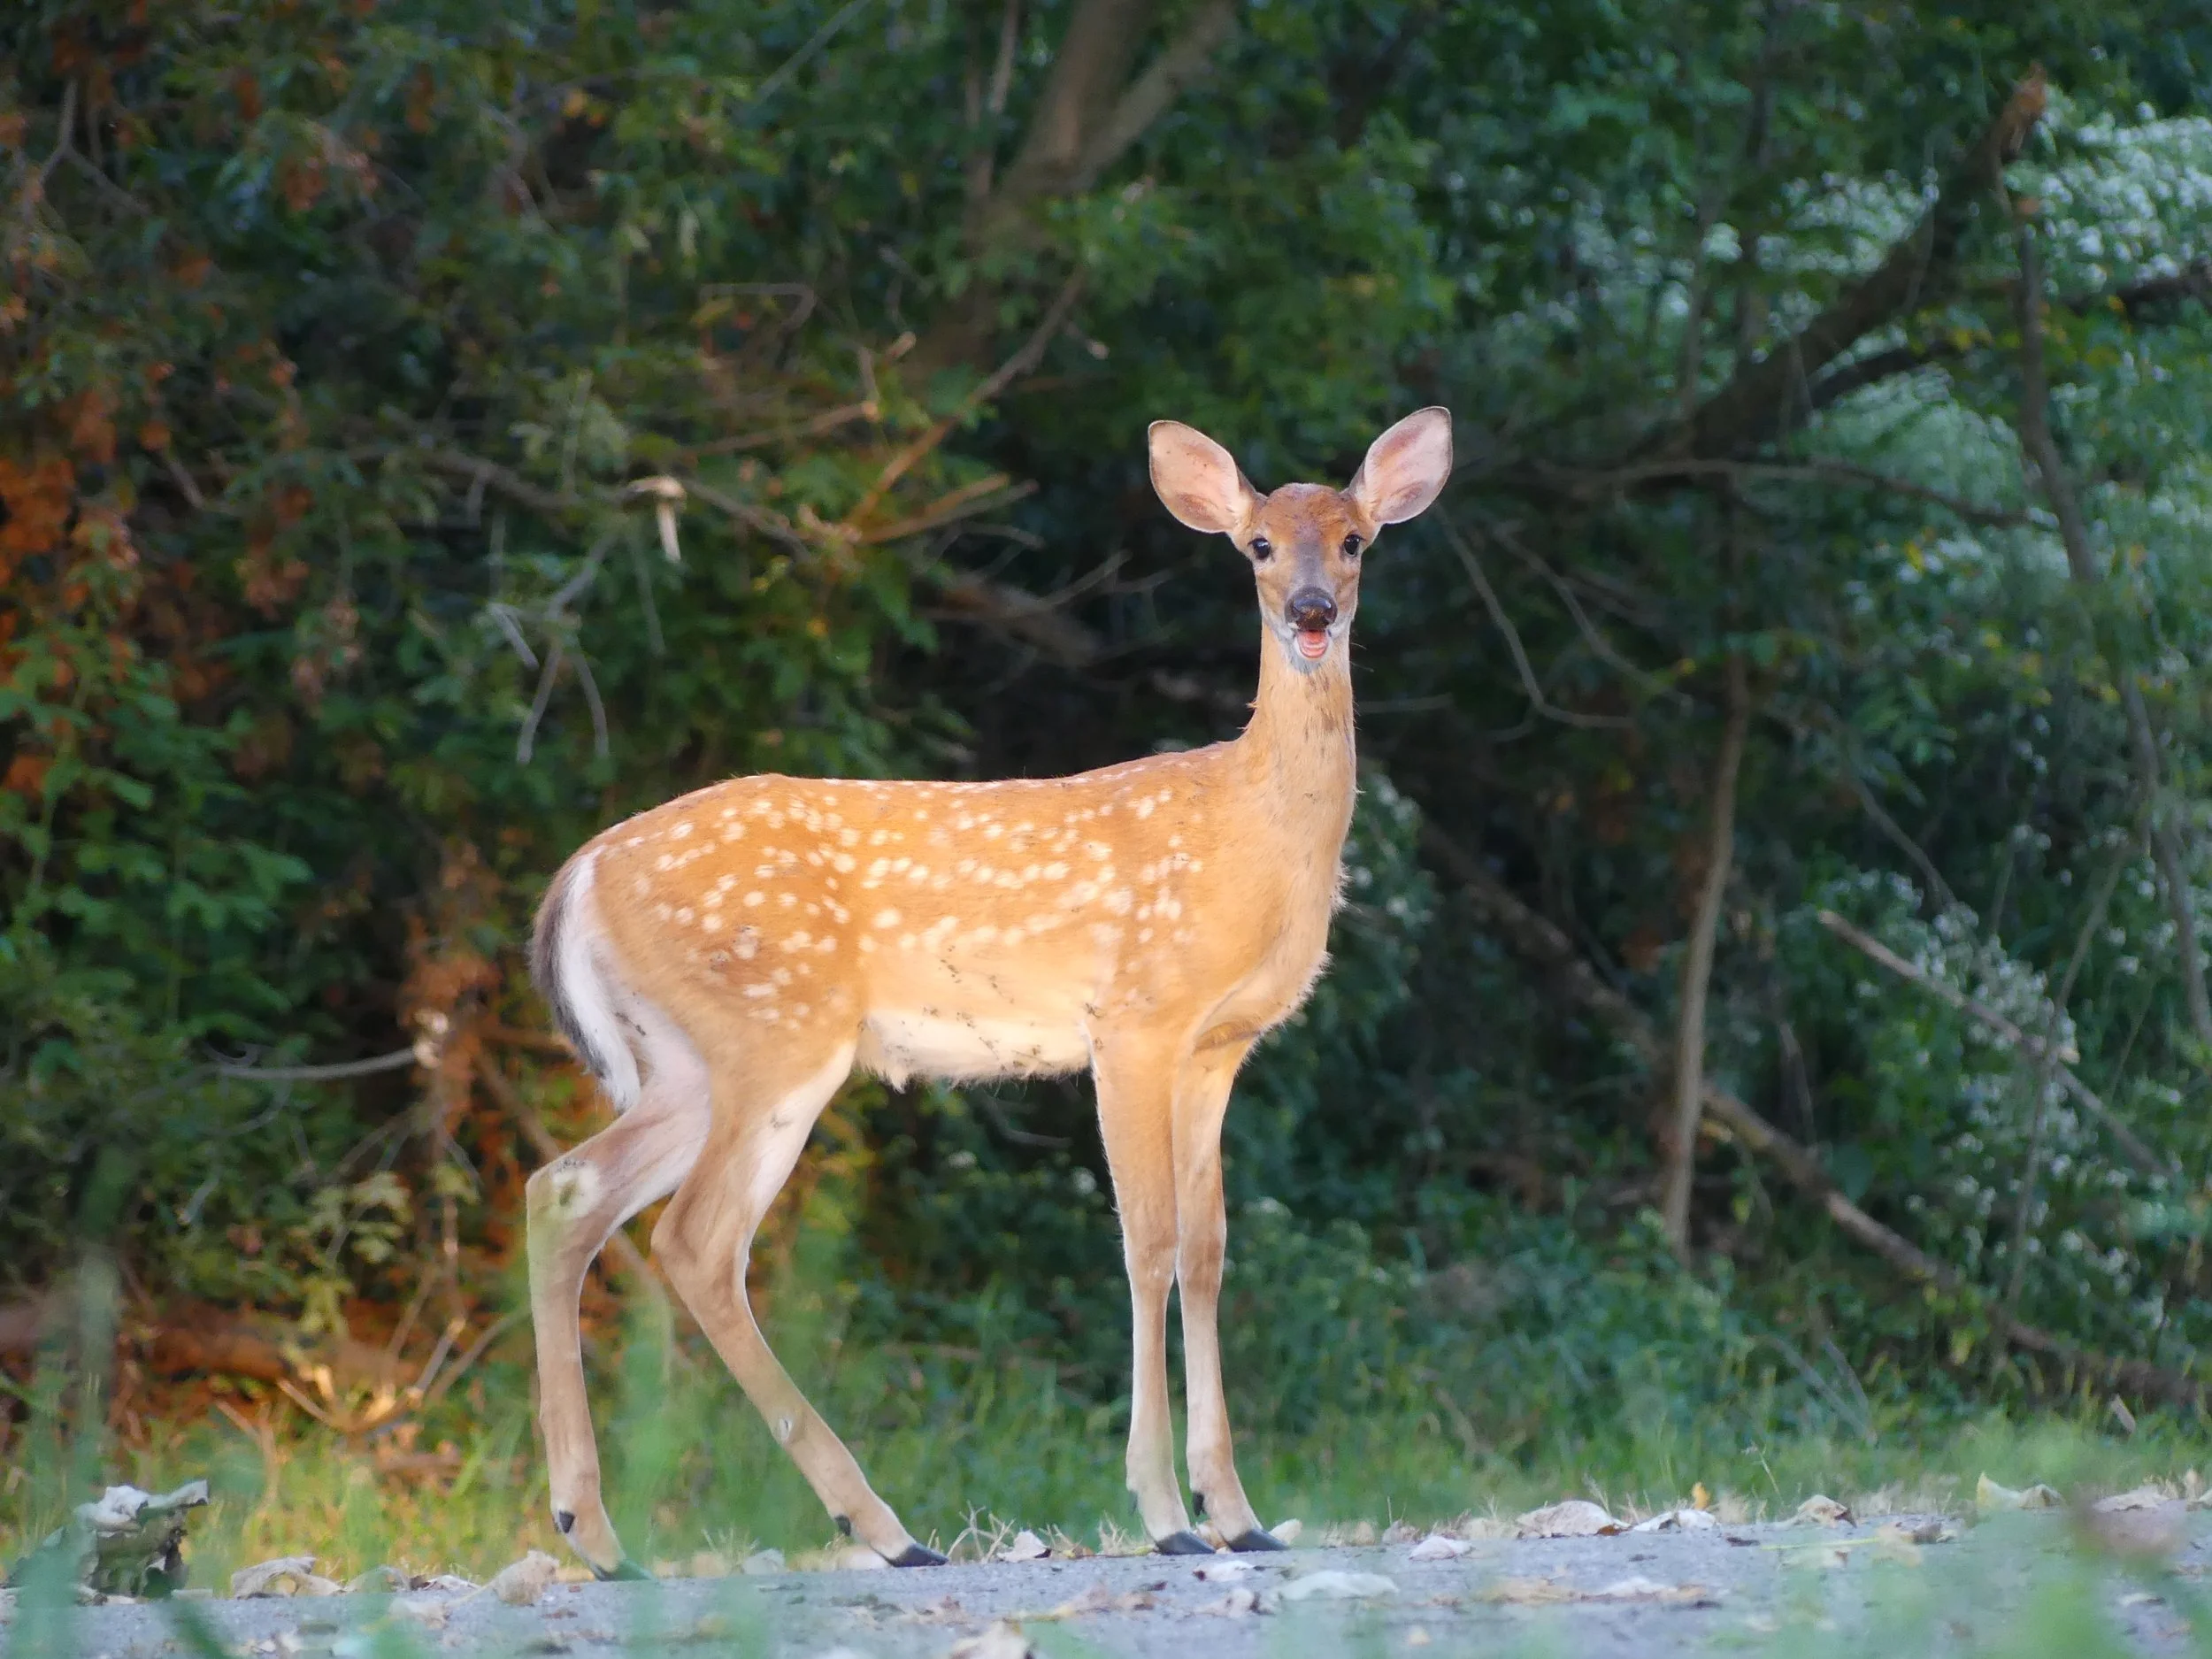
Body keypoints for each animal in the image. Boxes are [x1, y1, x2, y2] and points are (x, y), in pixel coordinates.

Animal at [524, 407, 1453, 1574]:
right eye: (1258, 547)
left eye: (1354, 540)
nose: (1312, 613)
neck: (1254, 835)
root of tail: (580, 873)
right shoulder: (1134, 1020)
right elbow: (1145, 1245)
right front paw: (1163, 1513)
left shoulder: (1218, 1048)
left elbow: (1205, 1252)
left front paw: (1237, 1514)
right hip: (774, 1035)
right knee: (696, 1241)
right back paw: (879, 1528)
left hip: (684, 1061)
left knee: (565, 1192)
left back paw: (598, 1534)